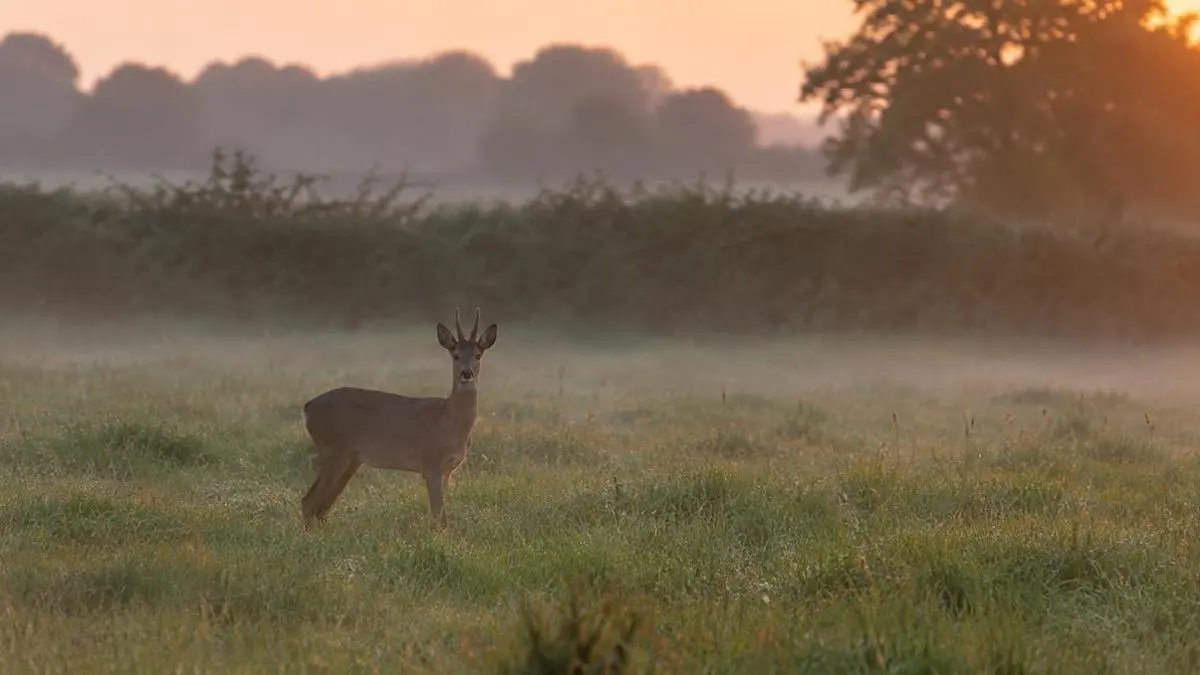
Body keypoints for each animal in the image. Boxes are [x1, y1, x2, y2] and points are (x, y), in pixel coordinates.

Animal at [299, 308, 498, 530]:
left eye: (478, 355)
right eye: (455, 355)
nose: (466, 373)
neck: (450, 420)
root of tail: (308, 407)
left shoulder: (448, 470)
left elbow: (439, 515)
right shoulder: (432, 464)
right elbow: (439, 515)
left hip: (350, 460)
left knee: (321, 508)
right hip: (333, 452)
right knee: (308, 502)